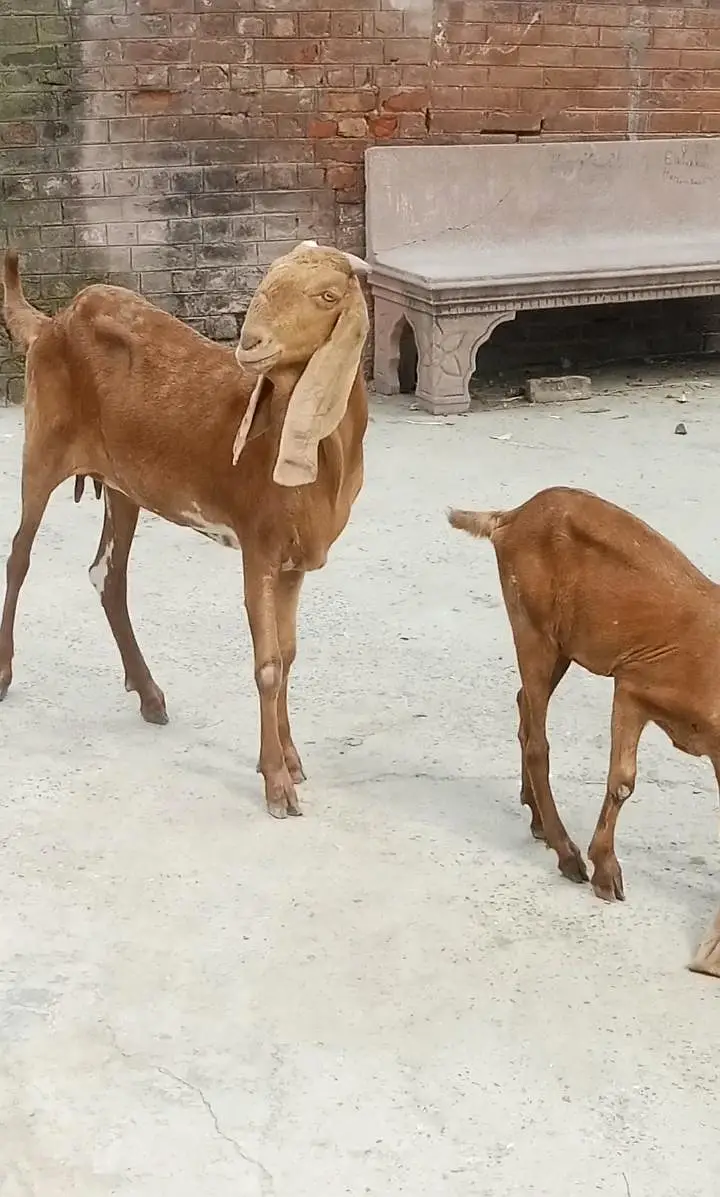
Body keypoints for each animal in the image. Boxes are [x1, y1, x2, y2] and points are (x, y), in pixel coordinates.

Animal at [0, 240, 371, 818]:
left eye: (328, 296)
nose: (251, 343)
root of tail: (50, 324)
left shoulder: (292, 564)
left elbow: (287, 657)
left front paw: (291, 760)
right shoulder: (259, 547)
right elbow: (267, 665)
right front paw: (276, 784)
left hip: (124, 485)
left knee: (107, 575)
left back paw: (150, 694)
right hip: (42, 445)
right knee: (20, 555)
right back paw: (4, 674)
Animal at [448, 486, 720, 907]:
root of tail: (511, 516)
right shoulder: (632, 686)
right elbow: (622, 781)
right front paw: (605, 872)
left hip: (561, 645)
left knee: (524, 706)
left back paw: (538, 820)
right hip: (531, 627)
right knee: (537, 741)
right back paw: (566, 854)